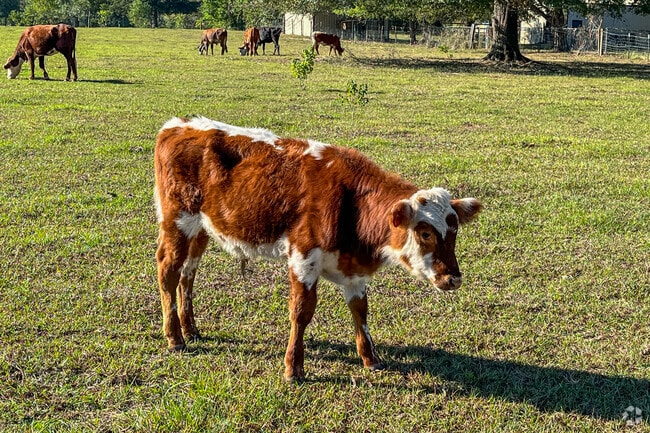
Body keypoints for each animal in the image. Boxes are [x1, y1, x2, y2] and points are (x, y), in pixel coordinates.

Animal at [154, 116, 482, 381]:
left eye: (454, 232)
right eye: (425, 233)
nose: (453, 278)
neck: (351, 202)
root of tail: (178, 124)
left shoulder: (353, 271)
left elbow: (360, 310)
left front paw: (370, 358)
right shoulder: (303, 257)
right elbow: (301, 312)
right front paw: (293, 368)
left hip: (200, 229)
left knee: (188, 274)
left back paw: (191, 329)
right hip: (177, 220)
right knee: (169, 270)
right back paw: (175, 337)